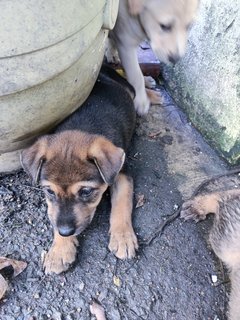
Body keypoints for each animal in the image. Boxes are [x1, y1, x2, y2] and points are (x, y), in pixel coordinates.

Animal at [21, 65, 138, 276]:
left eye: (86, 191)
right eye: (49, 191)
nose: (66, 232)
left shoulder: (122, 175)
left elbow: (122, 203)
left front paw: (123, 237)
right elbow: (55, 213)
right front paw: (59, 251)